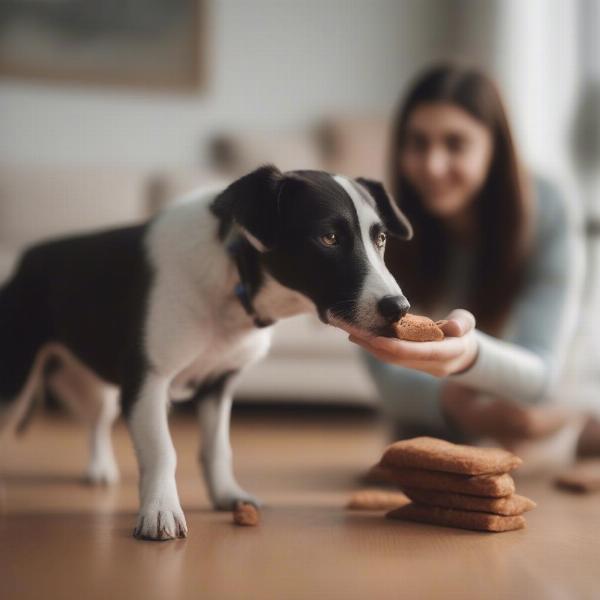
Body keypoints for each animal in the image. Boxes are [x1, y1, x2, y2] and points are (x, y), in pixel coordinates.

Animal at [0, 166, 412, 540]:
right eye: (328, 238)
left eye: (381, 239)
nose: (399, 308)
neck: (234, 279)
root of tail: (27, 258)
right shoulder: (148, 380)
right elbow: (162, 450)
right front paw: (160, 509)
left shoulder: (219, 382)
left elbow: (217, 448)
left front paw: (226, 495)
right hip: (14, 382)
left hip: (97, 389)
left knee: (97, 422)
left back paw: (100, 467)